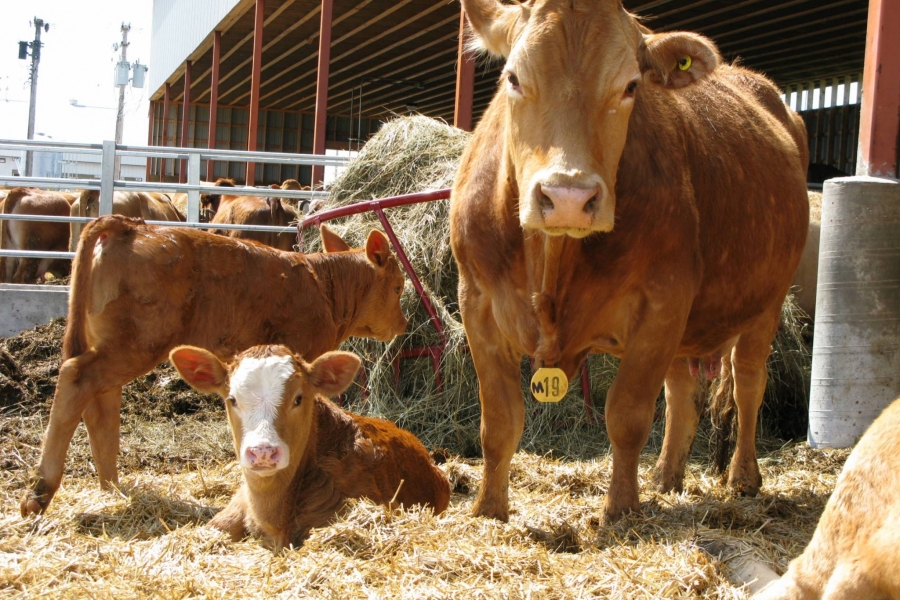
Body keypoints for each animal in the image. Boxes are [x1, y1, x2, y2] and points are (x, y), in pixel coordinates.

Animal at [19, 215, 409, 516]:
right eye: (398, 286)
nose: (402, 324)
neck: (323, 286)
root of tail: (131, 226)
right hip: (138, 342)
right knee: (77, 378)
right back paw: (40, 492)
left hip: (115, 343)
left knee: (100, 400)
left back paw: (111, 485)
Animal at [449, 0, 809, 523]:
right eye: (513, 78)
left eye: (631, 86)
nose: (569, 197)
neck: (552, 263)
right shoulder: (475, 300)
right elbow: (499, 421)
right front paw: (488, 509)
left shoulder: (662, 303)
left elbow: (627, 415)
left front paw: (621, 510)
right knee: (682, 393)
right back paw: (667, 476)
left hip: (767, 302)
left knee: (747, 383)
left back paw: (743, 477)